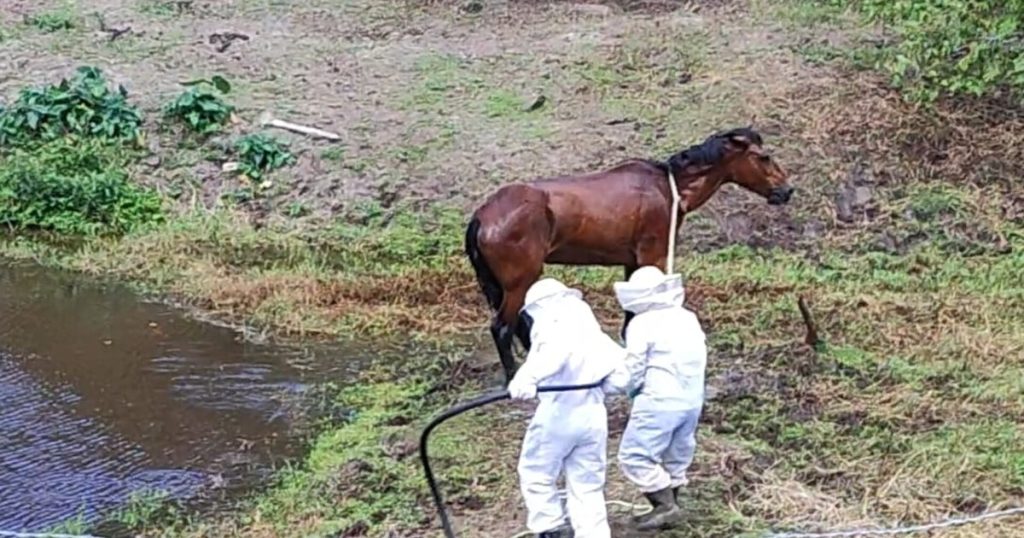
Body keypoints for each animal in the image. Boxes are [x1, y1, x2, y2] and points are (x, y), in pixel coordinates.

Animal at [464, 127, 790, 381]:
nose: (787, 191)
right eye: (764, 157)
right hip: (518, 282)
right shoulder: (652, 257)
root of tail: (483, 214)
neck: (669, 187)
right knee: (502, 328)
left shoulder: (633, 261)